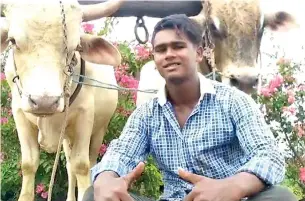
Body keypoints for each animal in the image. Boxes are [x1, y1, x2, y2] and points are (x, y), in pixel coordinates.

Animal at [0, 0, 124, 201]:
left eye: (76, 47)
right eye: (13, 41)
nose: (44, 101)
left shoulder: (85, 116)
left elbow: (81, 166)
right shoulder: (20, 114)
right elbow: (28, 164)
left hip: (98, 130)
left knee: (86, 163)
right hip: (66, 138)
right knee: (69, 166)